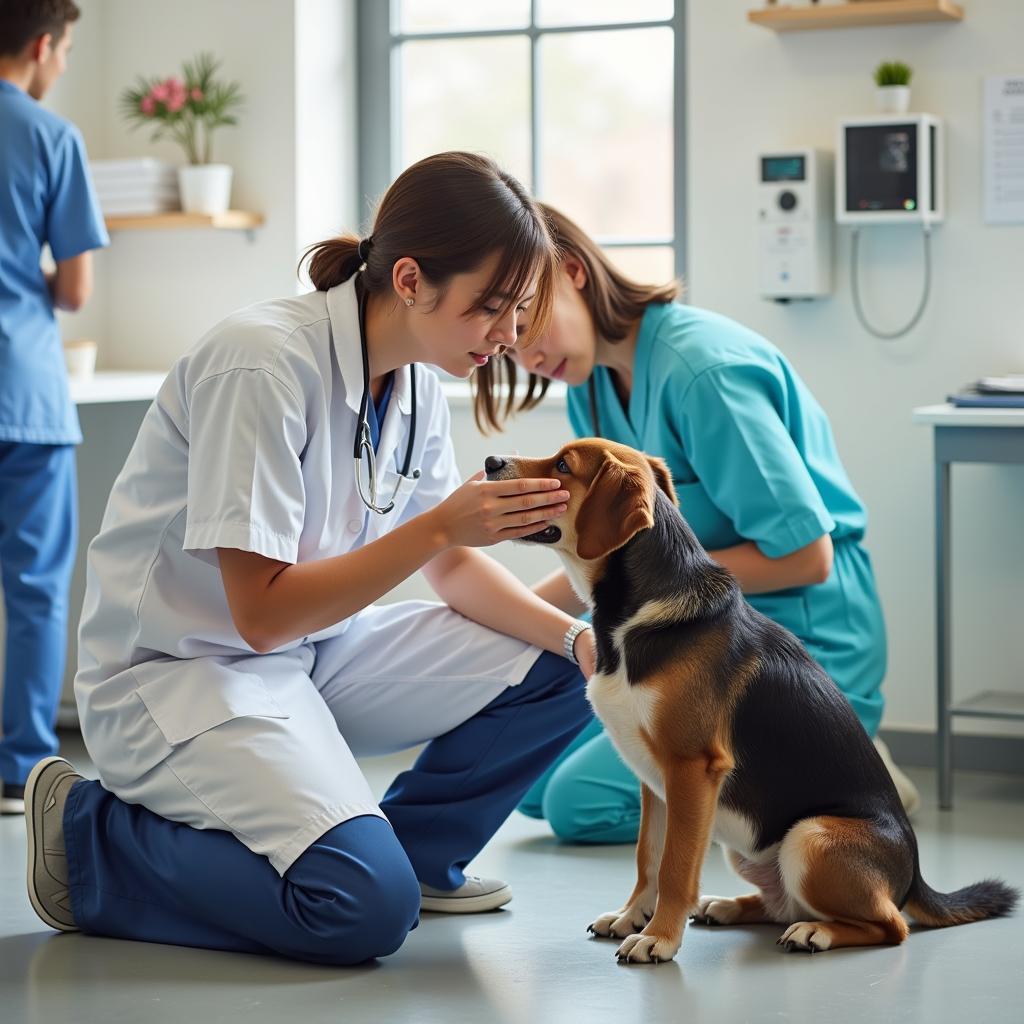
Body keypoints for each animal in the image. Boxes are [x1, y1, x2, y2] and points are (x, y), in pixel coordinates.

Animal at [487, 442, 1015, 966]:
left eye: (562, 465)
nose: (491, 463)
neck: (636, 614)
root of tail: (916, 874)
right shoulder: (654, 779)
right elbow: (647, 859)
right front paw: (632, 916)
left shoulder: (691, 769)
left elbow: (675, 866)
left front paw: (659, 937)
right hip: (742, 840)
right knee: (782, 906)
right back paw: (726, 907)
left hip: (810, 836)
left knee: (890, 925)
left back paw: (815, 933)